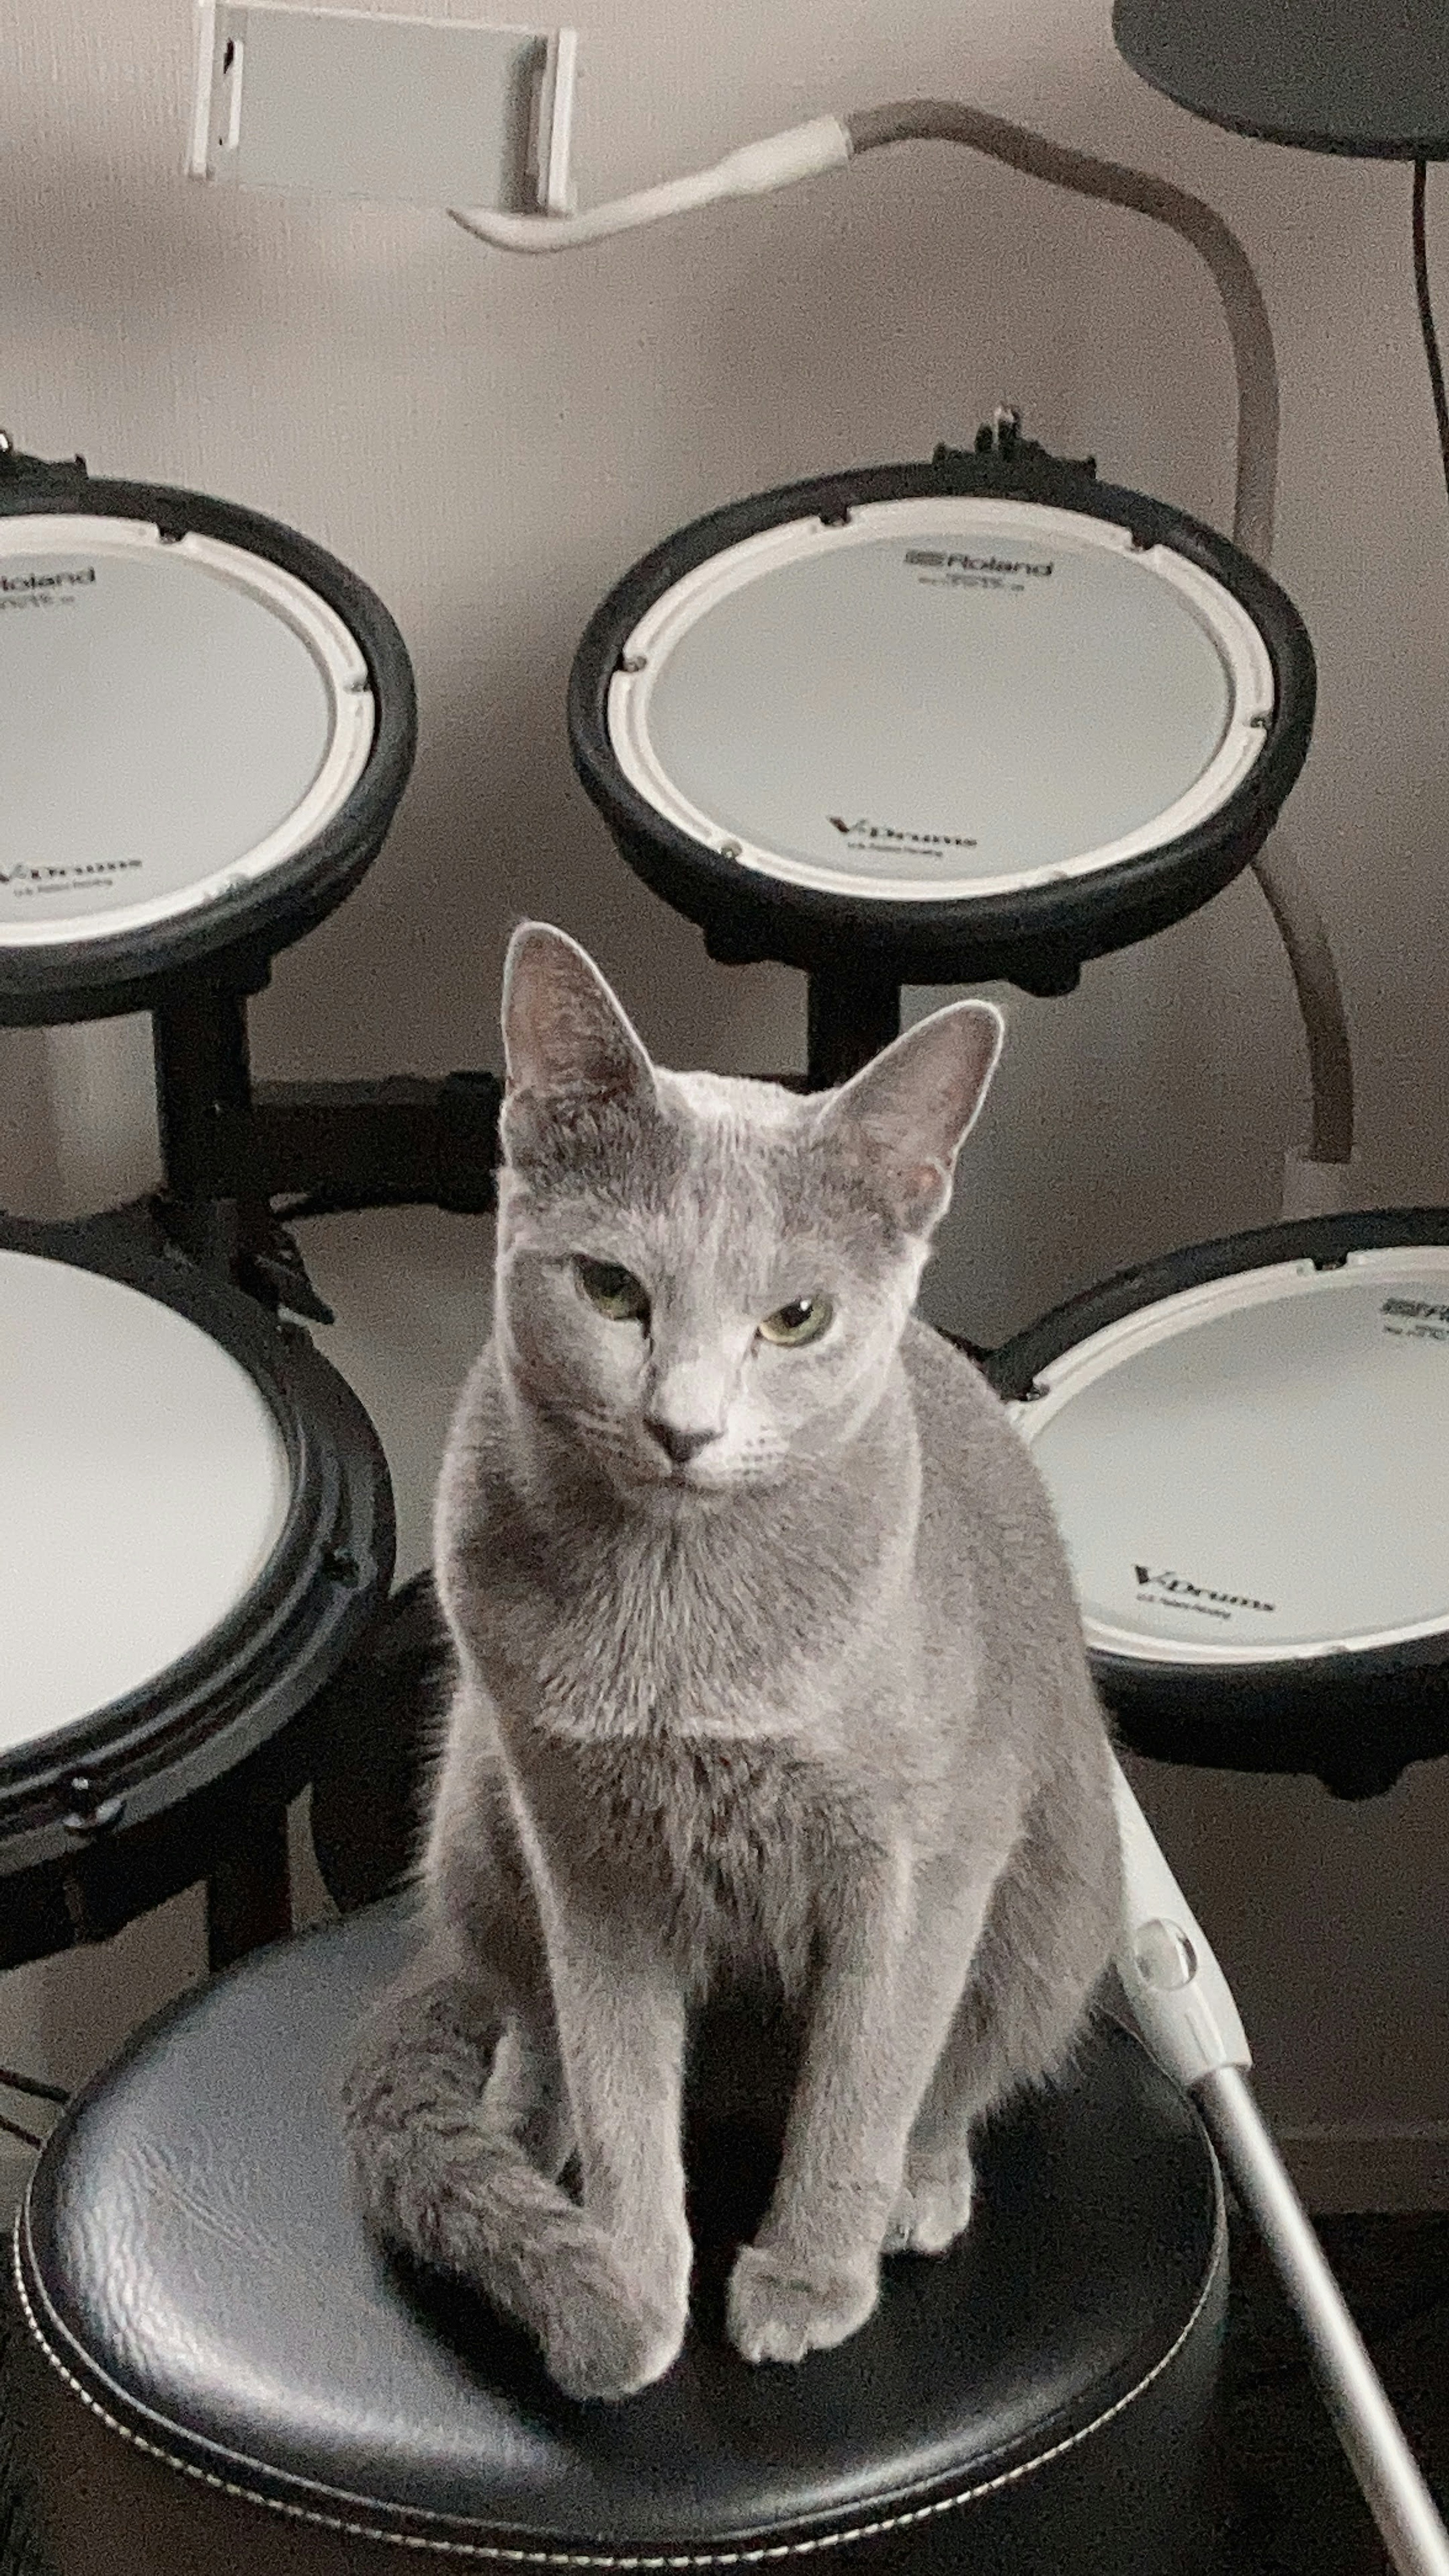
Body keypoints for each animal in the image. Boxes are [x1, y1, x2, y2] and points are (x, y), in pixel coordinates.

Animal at [338, 932, 1119, 2411]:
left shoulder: (915, 1861)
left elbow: (866, 2075)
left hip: (1061, 1899)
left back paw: (918, 2190)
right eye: (609, 1289)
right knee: (529, 2020)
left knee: (955, 2075)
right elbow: (620, 2075)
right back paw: (524, 2136)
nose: (682, 1426)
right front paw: (630, 2285)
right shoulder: (585, 1850)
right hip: (472, 1812)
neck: (681, 1635)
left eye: (795, 1318)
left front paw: (810, 2276)